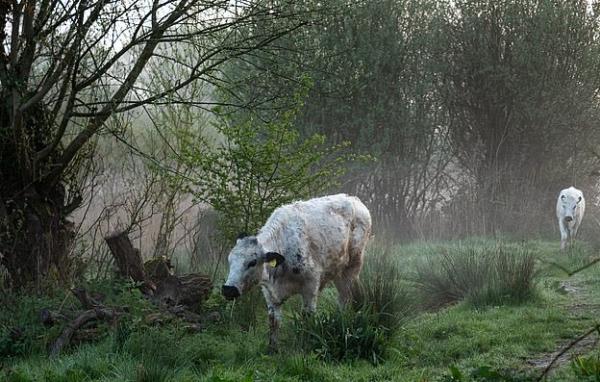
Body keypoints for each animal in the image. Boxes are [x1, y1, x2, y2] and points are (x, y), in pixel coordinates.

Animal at [220, 195, 370, 350]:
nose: (228, 289)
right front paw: (272, 349)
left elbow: (307, 316)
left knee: (345, 299)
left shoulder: (311, 285)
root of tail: (353, 199)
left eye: (252, 262)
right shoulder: (269, 293)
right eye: (229, 259)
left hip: (352, 268)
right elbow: (273, 321)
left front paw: (305, 345)